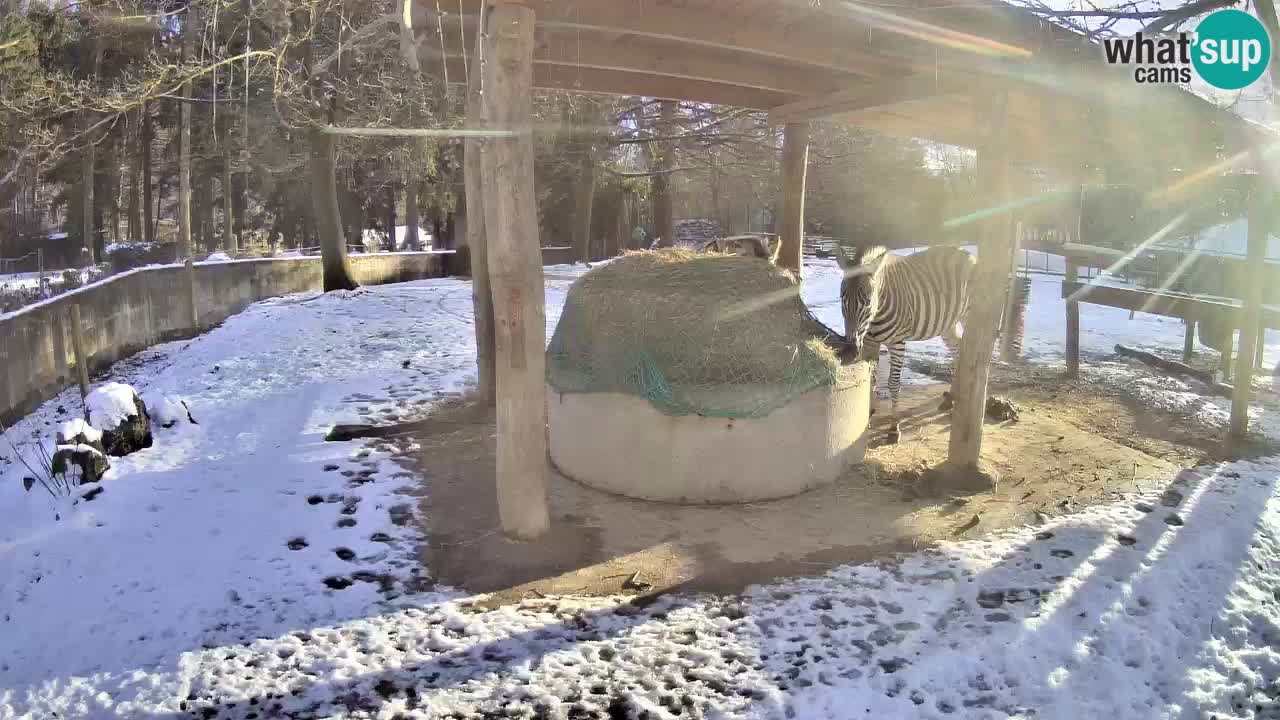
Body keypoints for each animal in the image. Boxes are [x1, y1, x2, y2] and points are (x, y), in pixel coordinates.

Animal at [834, 243, 972, 417]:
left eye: (867, 302)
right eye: (842, 299)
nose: (851, 351)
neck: (874, 318)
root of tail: (967, 253)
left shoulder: (897, 343)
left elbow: (893, 383)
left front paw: (894, 421)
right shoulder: (869, 343)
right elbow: (871, 377)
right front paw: (869, 412)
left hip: (969, 315)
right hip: (948, 324)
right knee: (958, 351)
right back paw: (950, 399)